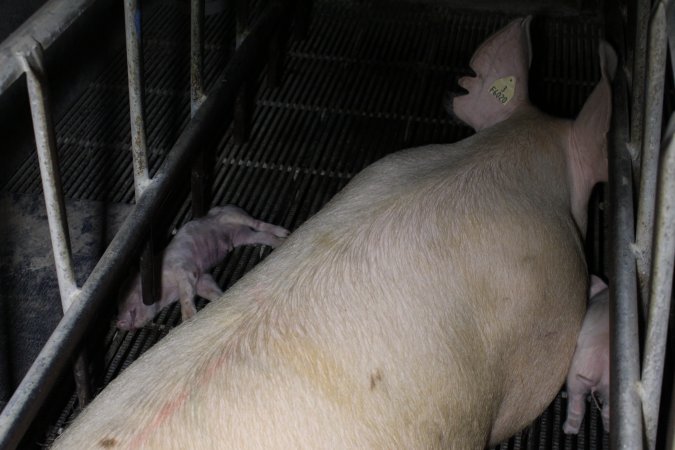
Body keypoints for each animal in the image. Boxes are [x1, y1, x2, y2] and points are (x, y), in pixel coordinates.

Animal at [117, 205, 290, 330]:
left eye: (127, 294)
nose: (118, 324)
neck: (168, 292)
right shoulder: (202, 278)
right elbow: (210, 290)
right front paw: (221, 299)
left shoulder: (183, 268)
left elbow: (185, 293)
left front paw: (188, 319)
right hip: (242, 237)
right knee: (261, 236)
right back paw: (281, 242)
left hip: (234, 215)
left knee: (258, 223)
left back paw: (285, 233)